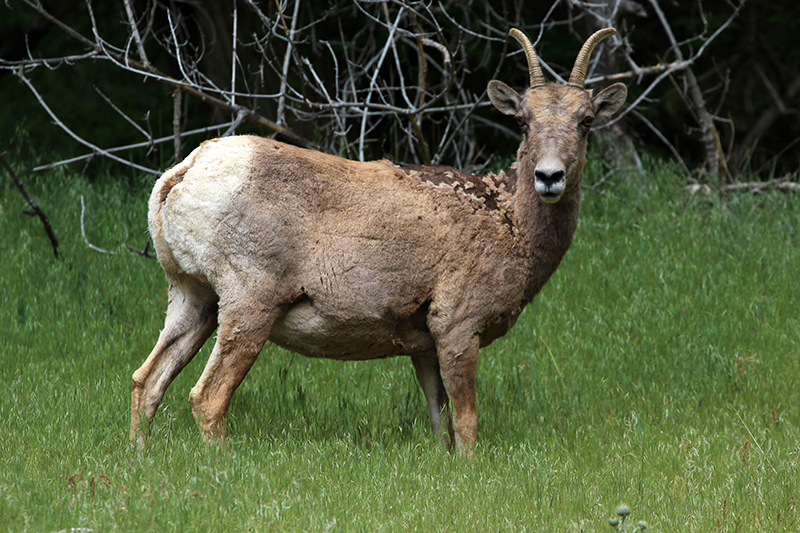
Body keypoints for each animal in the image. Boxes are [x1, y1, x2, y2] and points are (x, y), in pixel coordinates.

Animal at [131, 28, 628, 458]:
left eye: (586, 121)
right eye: (524, 122)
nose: (549, 176)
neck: (510, 223)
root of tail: (180, 177)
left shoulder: (423, 342)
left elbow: (440, 421)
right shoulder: (458, 324)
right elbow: (467, 421)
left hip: (193, 295)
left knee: (147, 379)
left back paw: (141, 459)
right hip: (249, 299)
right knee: (207, 396)